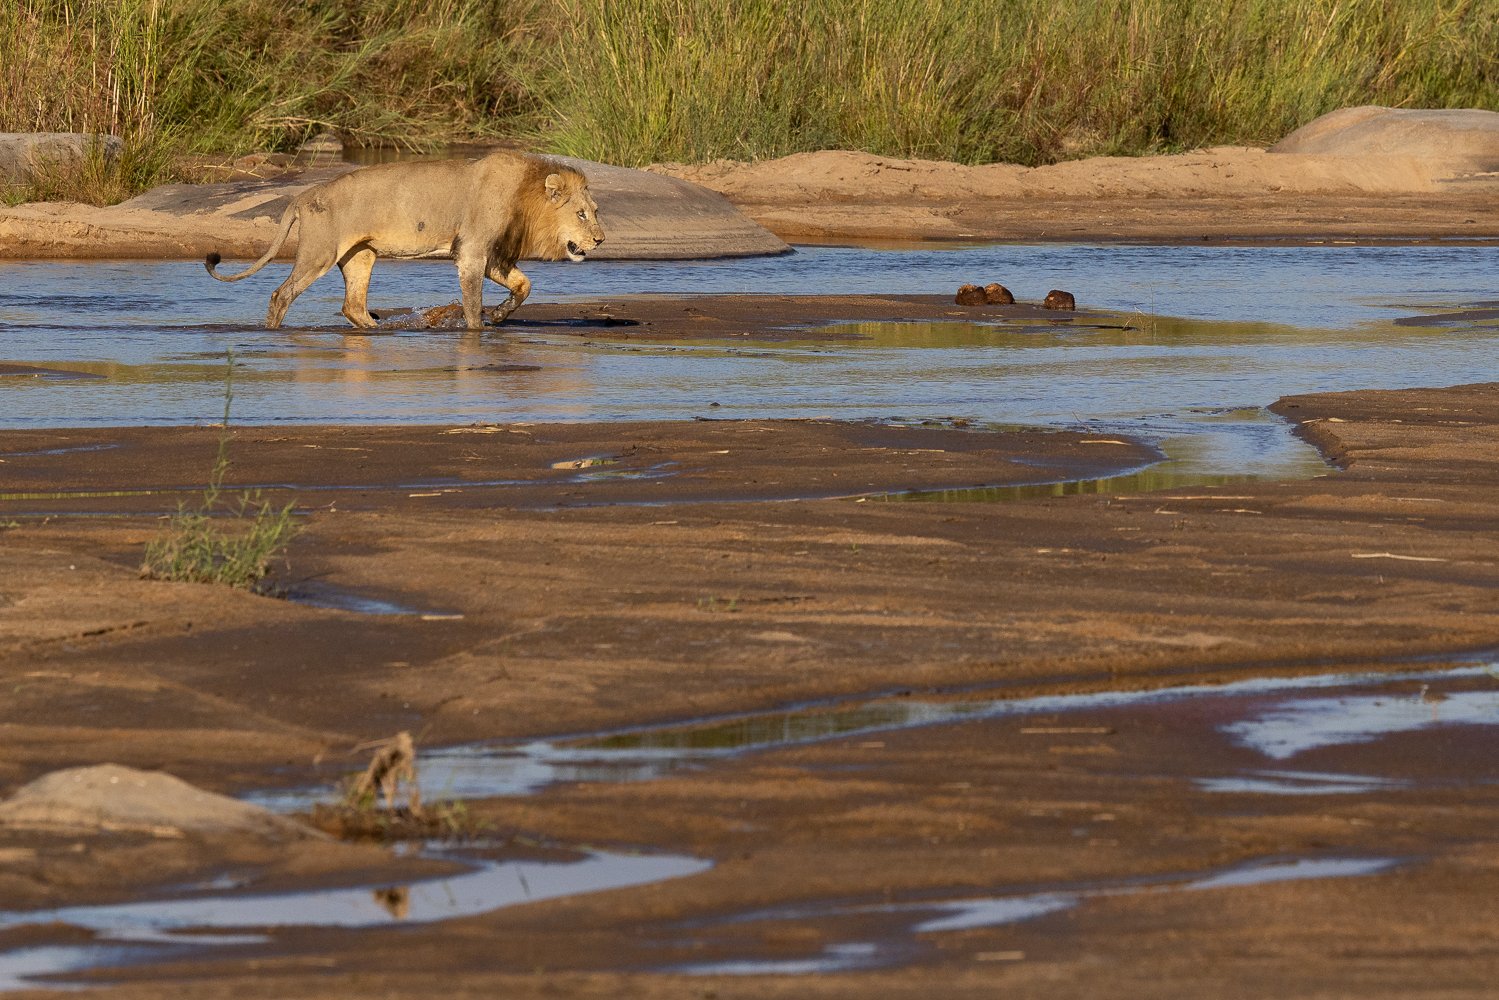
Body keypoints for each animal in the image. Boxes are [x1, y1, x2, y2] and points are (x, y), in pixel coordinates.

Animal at [205, 150, 605, 330]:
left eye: (595, 211)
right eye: (581, 214)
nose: (600, 240)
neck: (526, 198)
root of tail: (304, 194)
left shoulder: (492, 256)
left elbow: (525, 285)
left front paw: (501, 314)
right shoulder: (472, 252)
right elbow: (472, 303)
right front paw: (478, 328)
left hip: (360, 256)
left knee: (353, 305)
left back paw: (377, 330)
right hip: (319, 253)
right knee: (282, 293)